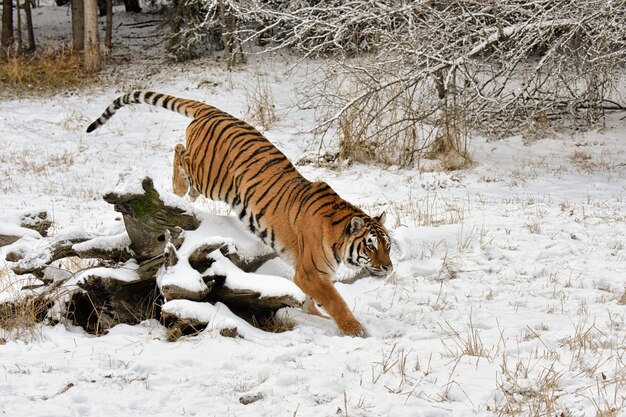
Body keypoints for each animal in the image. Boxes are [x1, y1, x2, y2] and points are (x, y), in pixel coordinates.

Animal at [85, 89, 392, 336]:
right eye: (370, 246)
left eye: (387, 246)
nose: (389, 268)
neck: (338, 236)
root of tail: (213, 110)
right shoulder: (310, 273)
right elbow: (335, 301)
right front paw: (354, 329)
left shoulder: (308, 273)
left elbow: (311, 300)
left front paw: (313, 316)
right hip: (211, 178)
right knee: (180, 150)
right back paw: (177, 187)